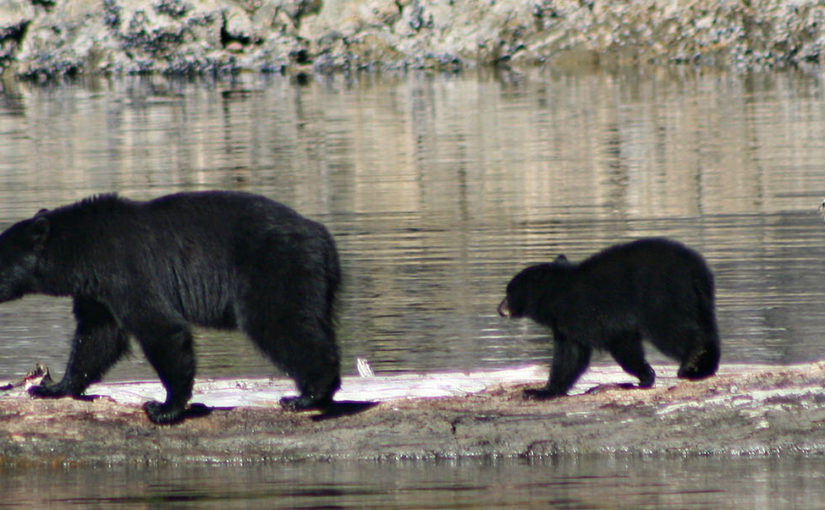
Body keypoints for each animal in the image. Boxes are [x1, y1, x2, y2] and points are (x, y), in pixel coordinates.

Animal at [0, 191, 341, 424]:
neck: (82, 250)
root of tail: (322, 237)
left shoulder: (127, 271)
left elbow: (160, 327)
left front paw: (165, 408)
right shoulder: (99, 293)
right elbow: (97, 336)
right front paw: (53, 388)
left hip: (275, 269)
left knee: (280, 323)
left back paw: (308, 395)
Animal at [498, 237, 720, 399]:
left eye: (509, 291)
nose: (499, 309)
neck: (558, 294)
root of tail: (694, 268)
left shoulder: (586, 313)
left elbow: (616, 343)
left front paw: (644, 375)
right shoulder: (566, 325)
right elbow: (570, 356)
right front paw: (542, 390)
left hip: (660, 296)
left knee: (670, 329)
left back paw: (690, 361)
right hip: (700, 299)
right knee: (707, 327)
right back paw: (703, 368)